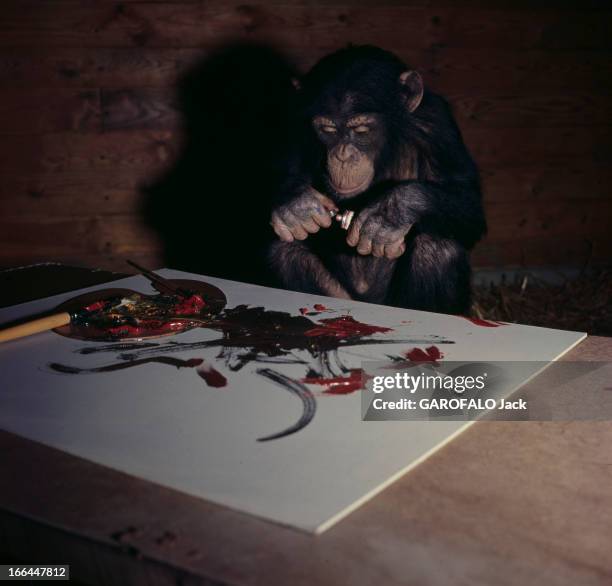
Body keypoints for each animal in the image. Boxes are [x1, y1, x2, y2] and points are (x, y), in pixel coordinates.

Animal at [268, 45, 488, 314]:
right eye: (327, 130)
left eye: (362, 130)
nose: (343, 155)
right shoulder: (295, 122)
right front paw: (296, 204)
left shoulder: (437, 123)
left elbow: (467, 199)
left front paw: (390, 213)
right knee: (285, 252)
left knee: (437, 252)